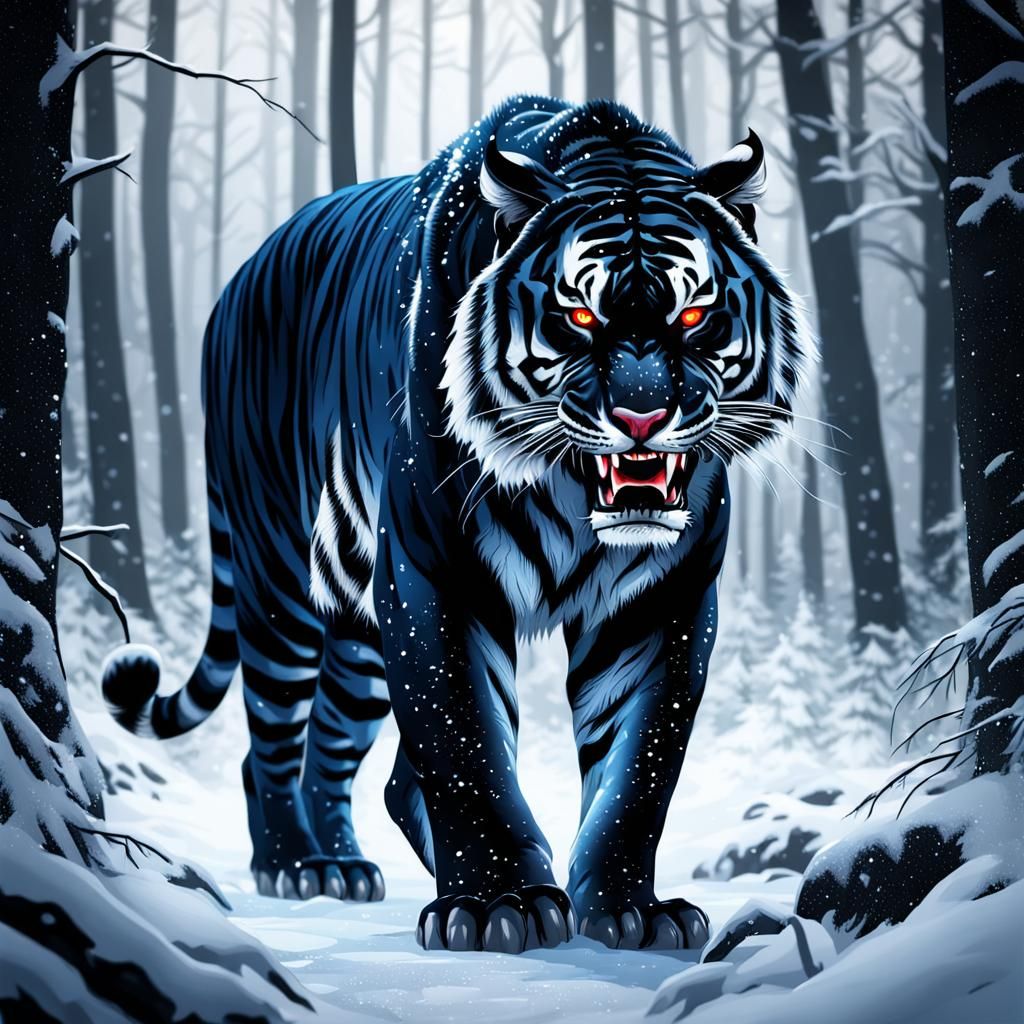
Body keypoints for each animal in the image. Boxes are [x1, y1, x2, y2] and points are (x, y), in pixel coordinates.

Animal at [102, 96, 810, 953]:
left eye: (696, 311)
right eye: (579, 313)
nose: (642, 416)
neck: (568, 489)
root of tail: (239, 275)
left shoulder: (660, 601)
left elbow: (637, 767)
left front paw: (627, 908)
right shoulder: (435, 576)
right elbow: (464, 742)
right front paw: (497, 903)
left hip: (358, 639)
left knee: (339, 750)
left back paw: (345, 868)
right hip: (278, 579)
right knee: (270, 738)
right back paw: (295, 866)